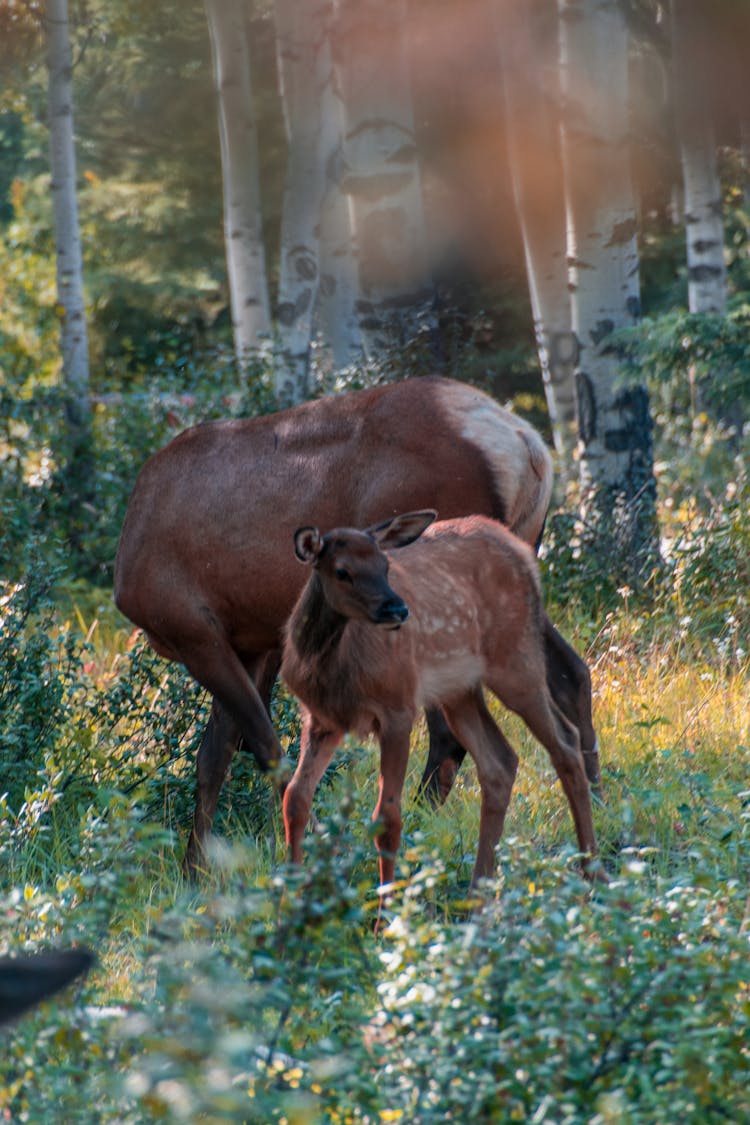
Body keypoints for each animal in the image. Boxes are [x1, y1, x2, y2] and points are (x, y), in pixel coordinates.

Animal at [114, 375, 602, 868]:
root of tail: (527, 445)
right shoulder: (252, 639)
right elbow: (217, 752)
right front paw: (196, 867)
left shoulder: (192, 630)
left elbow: (265, 747)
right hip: (511, 576)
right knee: (573, 673)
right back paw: (600, 805)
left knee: (449, 735)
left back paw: (424, 823)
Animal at [281, 513, 602, 922]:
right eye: (342, 571)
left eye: (385, 565)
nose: (398, 611)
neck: (328, 667)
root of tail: (523, 553)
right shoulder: (323, 720)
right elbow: (295, 798)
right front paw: (290, 905)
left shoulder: (398, 707)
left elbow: (387, 817)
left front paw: (384, 920)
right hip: (459, 690)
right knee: (500, 761)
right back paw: (479, 895)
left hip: (516, 661)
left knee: (565, 743)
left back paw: (593, 874)